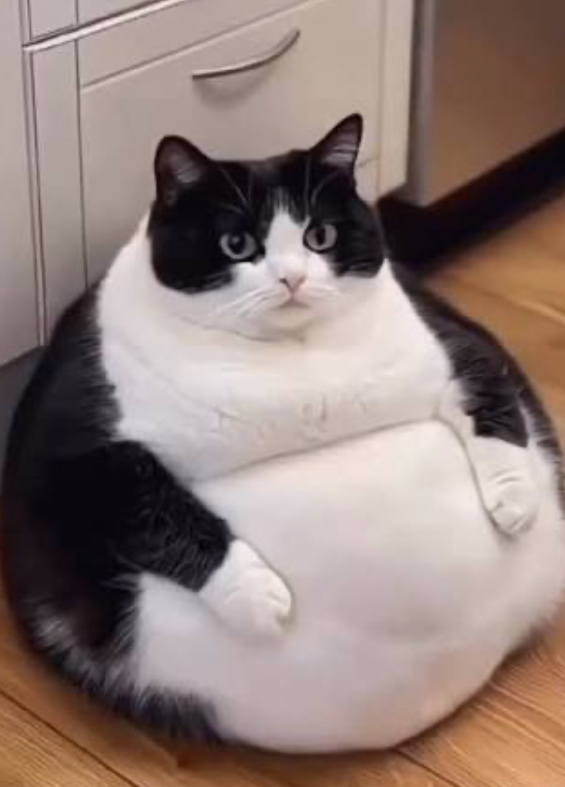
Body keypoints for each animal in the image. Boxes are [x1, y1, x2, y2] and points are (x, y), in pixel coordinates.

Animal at [2, 115, 564, 752]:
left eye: (320, 236)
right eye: (237, 245)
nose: (293, 279)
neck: (294, 362)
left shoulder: (452, 342)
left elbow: (489, 394)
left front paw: (515, 502)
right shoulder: (78, 457)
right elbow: (158, 510)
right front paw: (256, 596)